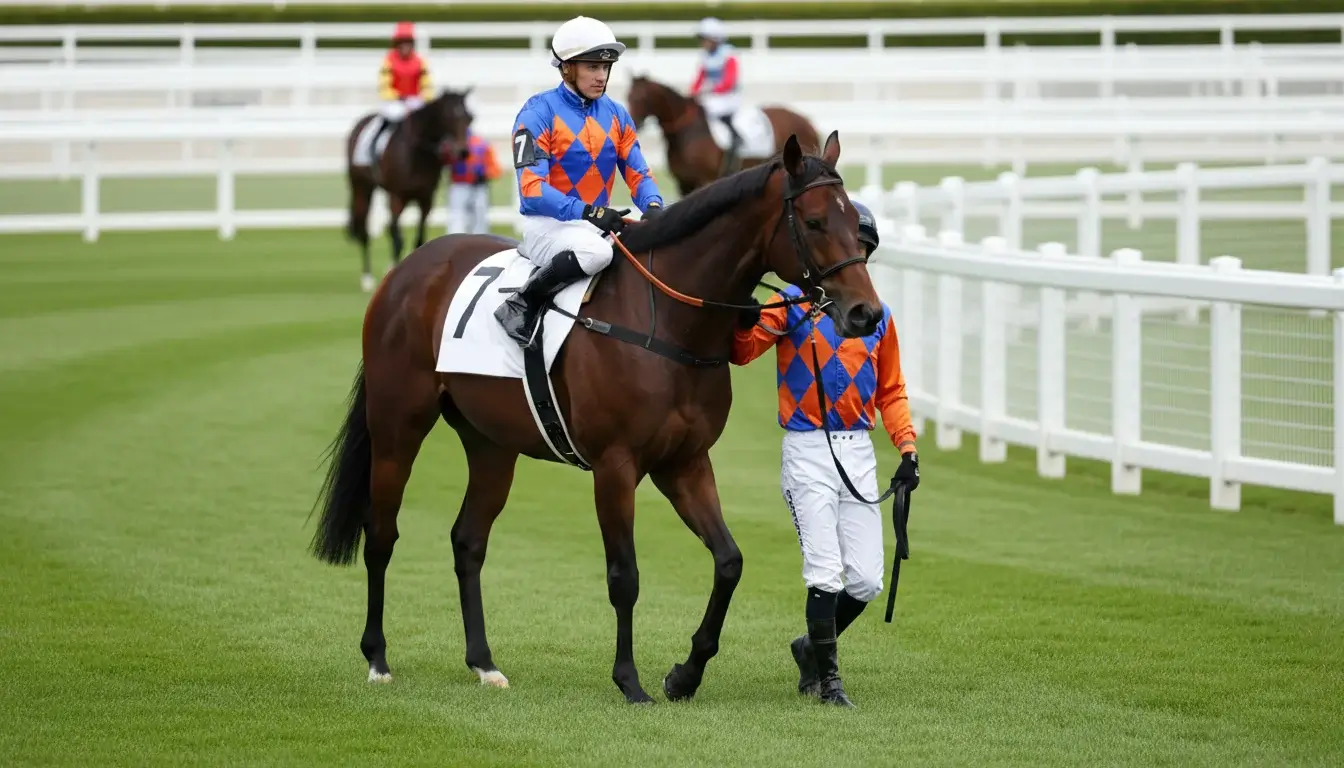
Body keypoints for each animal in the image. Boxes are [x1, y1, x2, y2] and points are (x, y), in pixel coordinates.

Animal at [310, 131, 884, 704]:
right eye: (814, 221)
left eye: (854, 224)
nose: (867, 313)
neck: (664, 321)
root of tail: (409, 269)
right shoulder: (616, 466)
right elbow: (624, 576)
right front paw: (629, 680)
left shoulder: (685, 463)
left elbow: (729, 561)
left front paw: (686, 673)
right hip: (396, 427)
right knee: (381, 534)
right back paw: (377, 659)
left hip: (491, 445)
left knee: (468, 541)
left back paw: (484, 664)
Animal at [345, 88, 475, 291]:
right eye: (449, 117)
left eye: (470, 118)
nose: (463, 152)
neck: (416, 153)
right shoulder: (397, 197)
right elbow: (397, 239)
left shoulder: (426, 199)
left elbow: (419, 239)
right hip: (362, 187)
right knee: (365, 228)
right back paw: (367, 278)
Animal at [626, 73, 822, 196]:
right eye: (628, 96)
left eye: (640, 98)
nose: (632, 123)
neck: (687, 132)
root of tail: (807, 122)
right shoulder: (683, 184)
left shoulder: (704, 180)